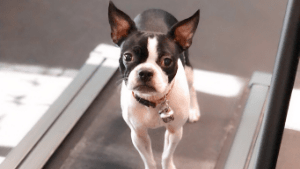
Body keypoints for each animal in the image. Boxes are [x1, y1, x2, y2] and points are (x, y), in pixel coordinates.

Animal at [109, 1, 200, 169]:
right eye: (128, 57)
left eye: (167, 61)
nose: (145, 72)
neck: (153, 100)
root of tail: (154, 9)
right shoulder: (138, 135)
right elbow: (149, 159)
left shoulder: (174, 132)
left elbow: (166, 155)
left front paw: (168, 166)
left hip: (189, 71)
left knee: (192, 88)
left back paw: (194, 110)